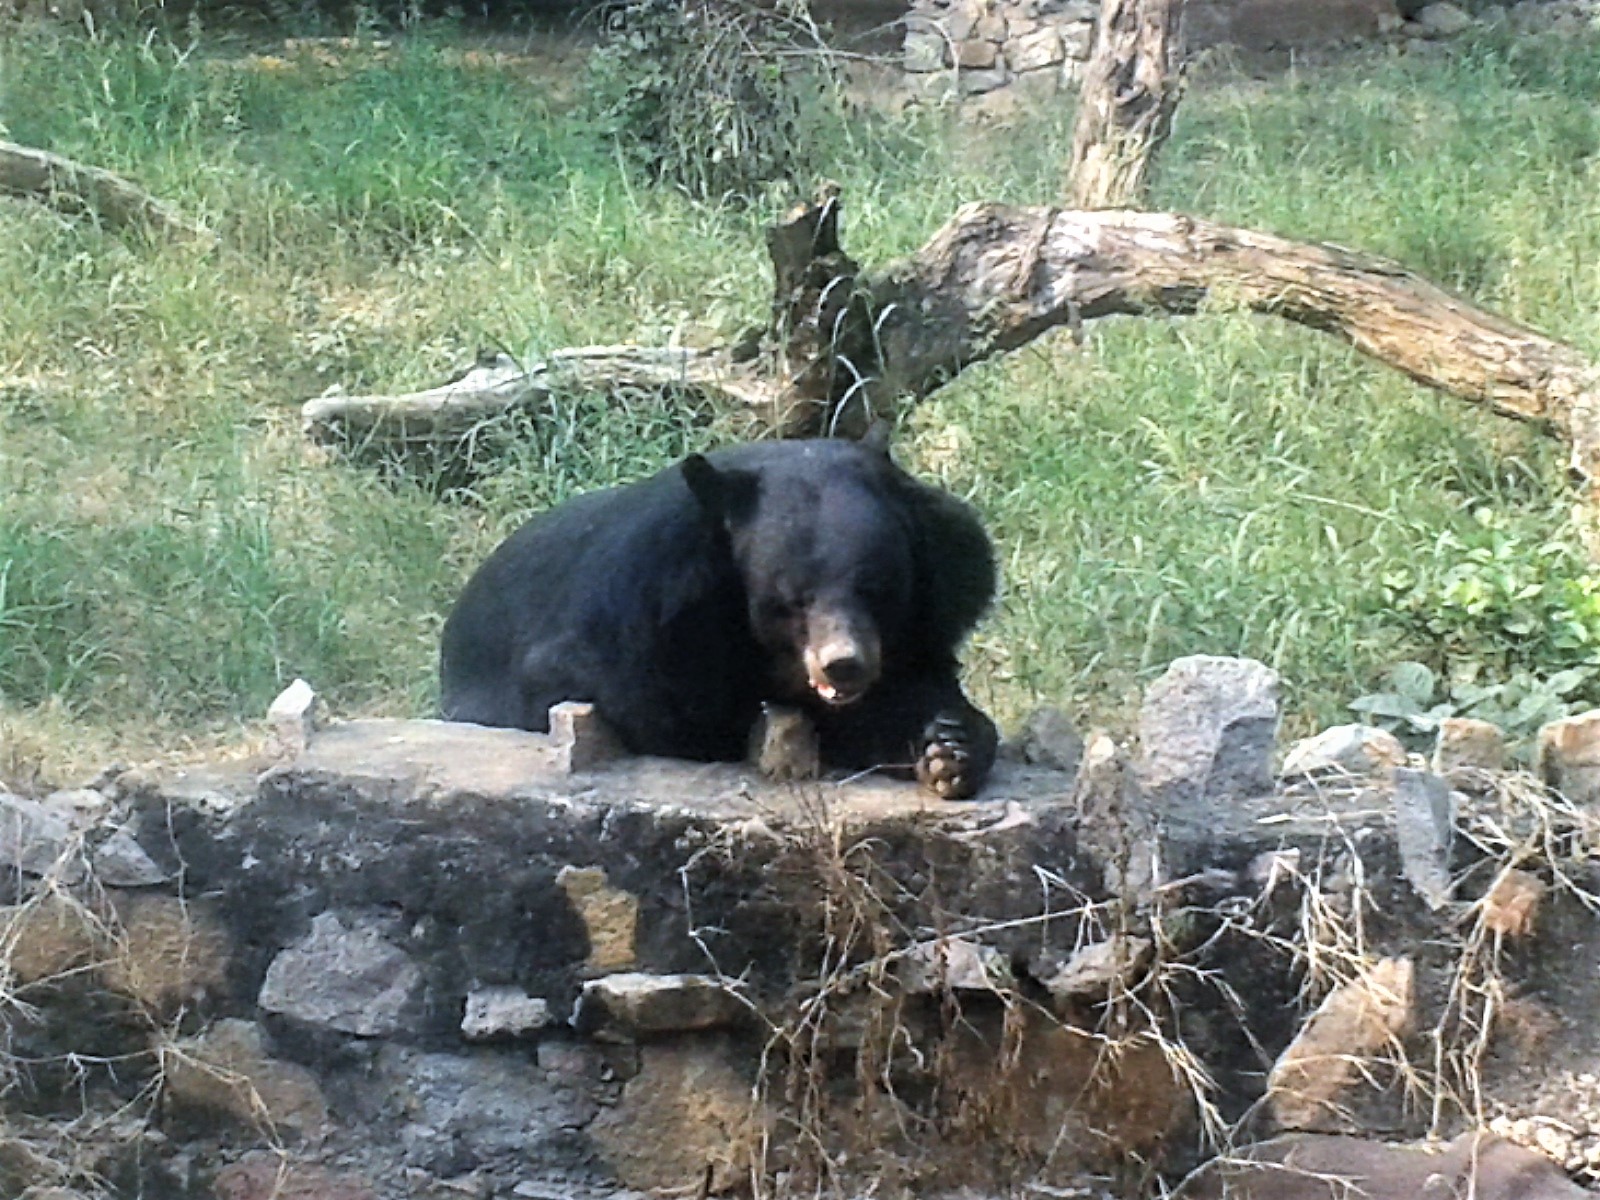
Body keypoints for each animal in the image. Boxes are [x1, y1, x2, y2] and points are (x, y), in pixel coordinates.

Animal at [438, 429, 999, 799]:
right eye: (793, 599)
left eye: (877, 589)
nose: (844, 665)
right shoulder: (642, 618)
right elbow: (671, 711)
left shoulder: (937, 605)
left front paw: (948, 750)